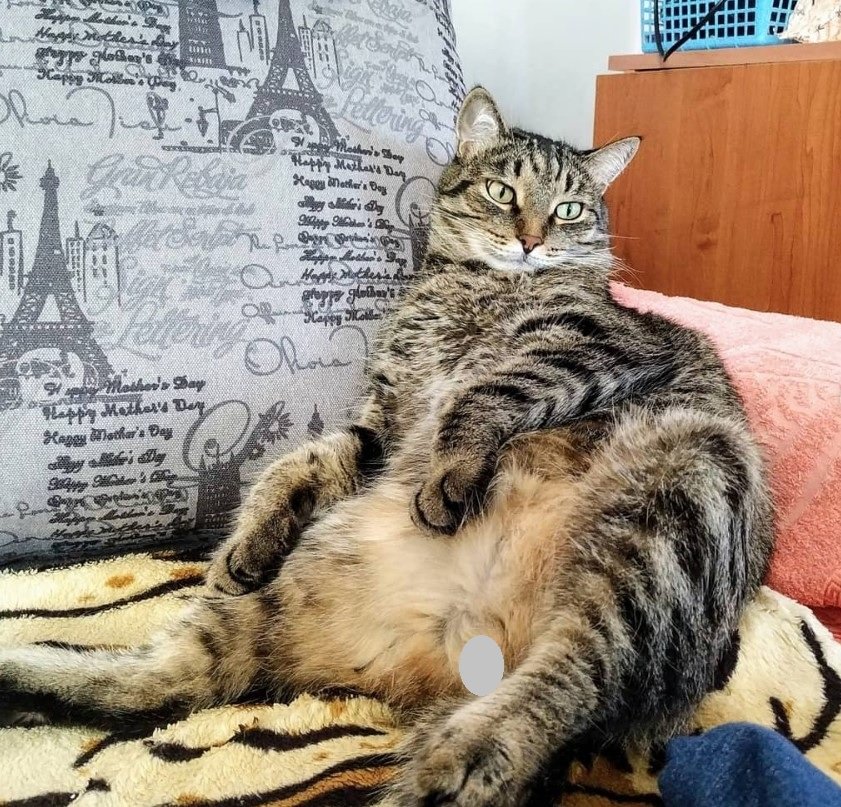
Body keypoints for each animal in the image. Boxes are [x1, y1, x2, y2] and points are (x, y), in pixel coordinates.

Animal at [1, 88, 776, 807]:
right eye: (503, 192)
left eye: (568, 210)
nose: (531, 239)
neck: (469, 288)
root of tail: (453, 649)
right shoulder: (385, 420)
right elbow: (304, 459)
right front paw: (246, 539)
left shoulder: (589, 345)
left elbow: (483, 392)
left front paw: (450, 473)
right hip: (286, 595)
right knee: (154, 683)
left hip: (677, 501)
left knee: (573, 676)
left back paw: (466, 760)